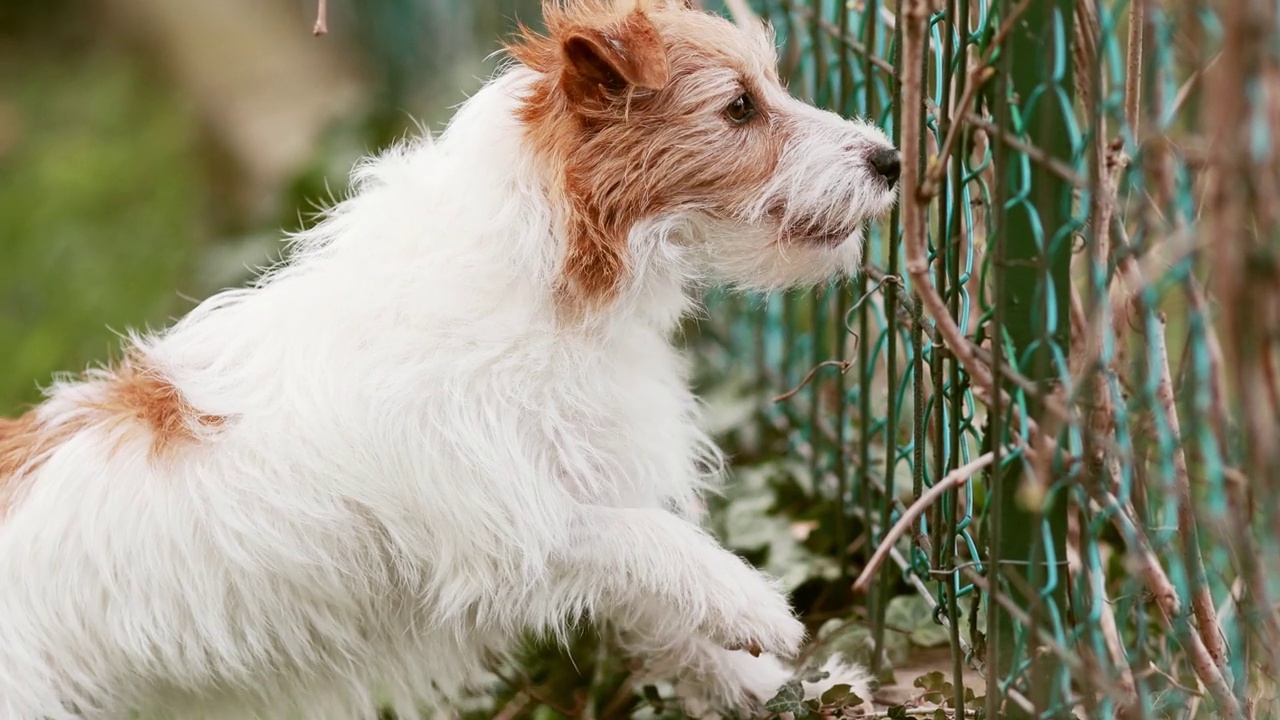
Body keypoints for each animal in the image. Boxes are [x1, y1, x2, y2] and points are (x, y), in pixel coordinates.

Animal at [0, 2, 901, 712]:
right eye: (741, 106)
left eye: (769, 88)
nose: (890, 159)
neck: (553, 287)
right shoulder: (505, 528)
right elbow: (642, 540)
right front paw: (752, 603)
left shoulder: (582, 480)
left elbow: (673, 621)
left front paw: (783, 689)